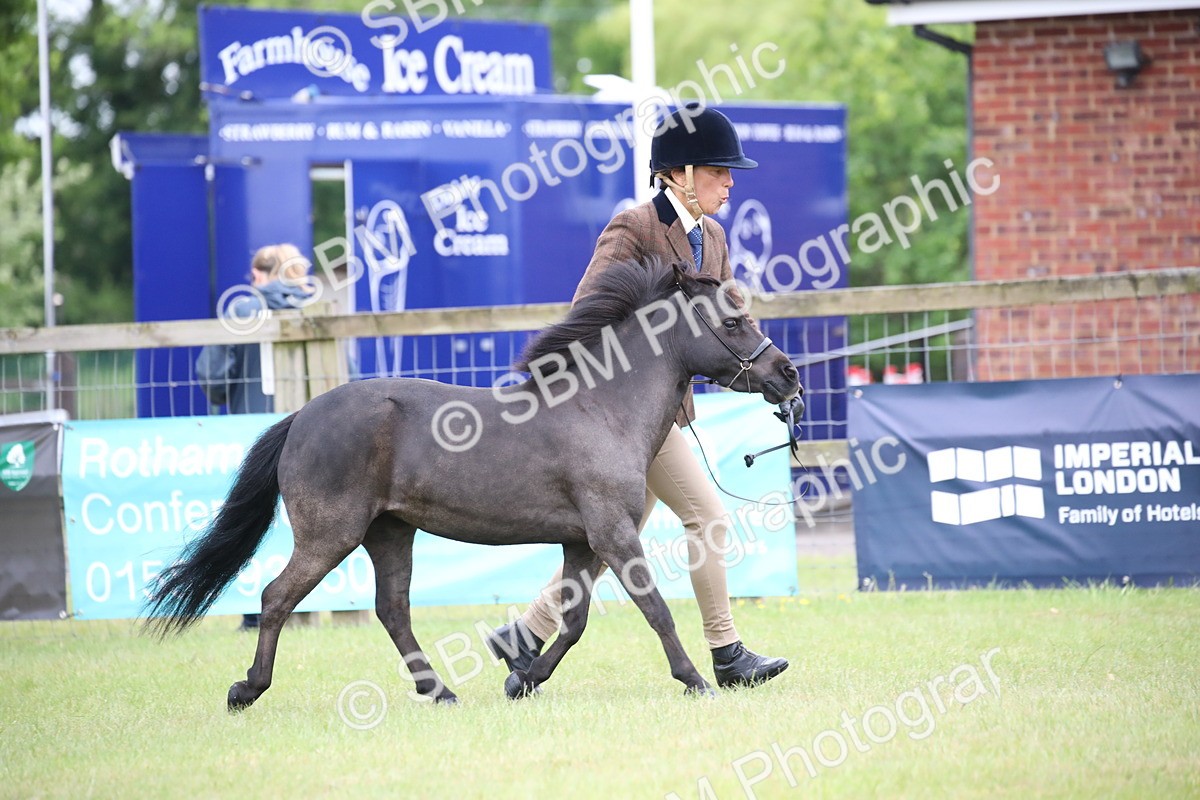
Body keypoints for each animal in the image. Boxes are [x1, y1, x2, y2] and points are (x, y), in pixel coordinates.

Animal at [144, 259, 801, 708]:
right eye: (735, 320)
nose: (789, 374)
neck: (601, 407)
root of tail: (302, 415)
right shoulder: (613, 535)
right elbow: (656, 609)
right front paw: (696, 681)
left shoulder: (582, 541)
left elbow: (574, 621)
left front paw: (526, 677)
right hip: (331, 535)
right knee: (276, 597)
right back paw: (247, 690)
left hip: (390, 533)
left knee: (392, 610)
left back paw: (439, 691)